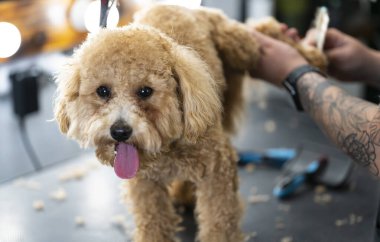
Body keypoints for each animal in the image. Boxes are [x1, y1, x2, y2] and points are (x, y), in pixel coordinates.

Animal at [54, 4, 326, 242]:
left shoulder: (217, 171)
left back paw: (311, 53)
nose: (120, 131)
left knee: (264, 29)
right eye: (102, 91)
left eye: (145, 91)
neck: (165, 150)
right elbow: (153, 223)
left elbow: (219, 222)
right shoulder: (145, 184)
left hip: (241, 46)